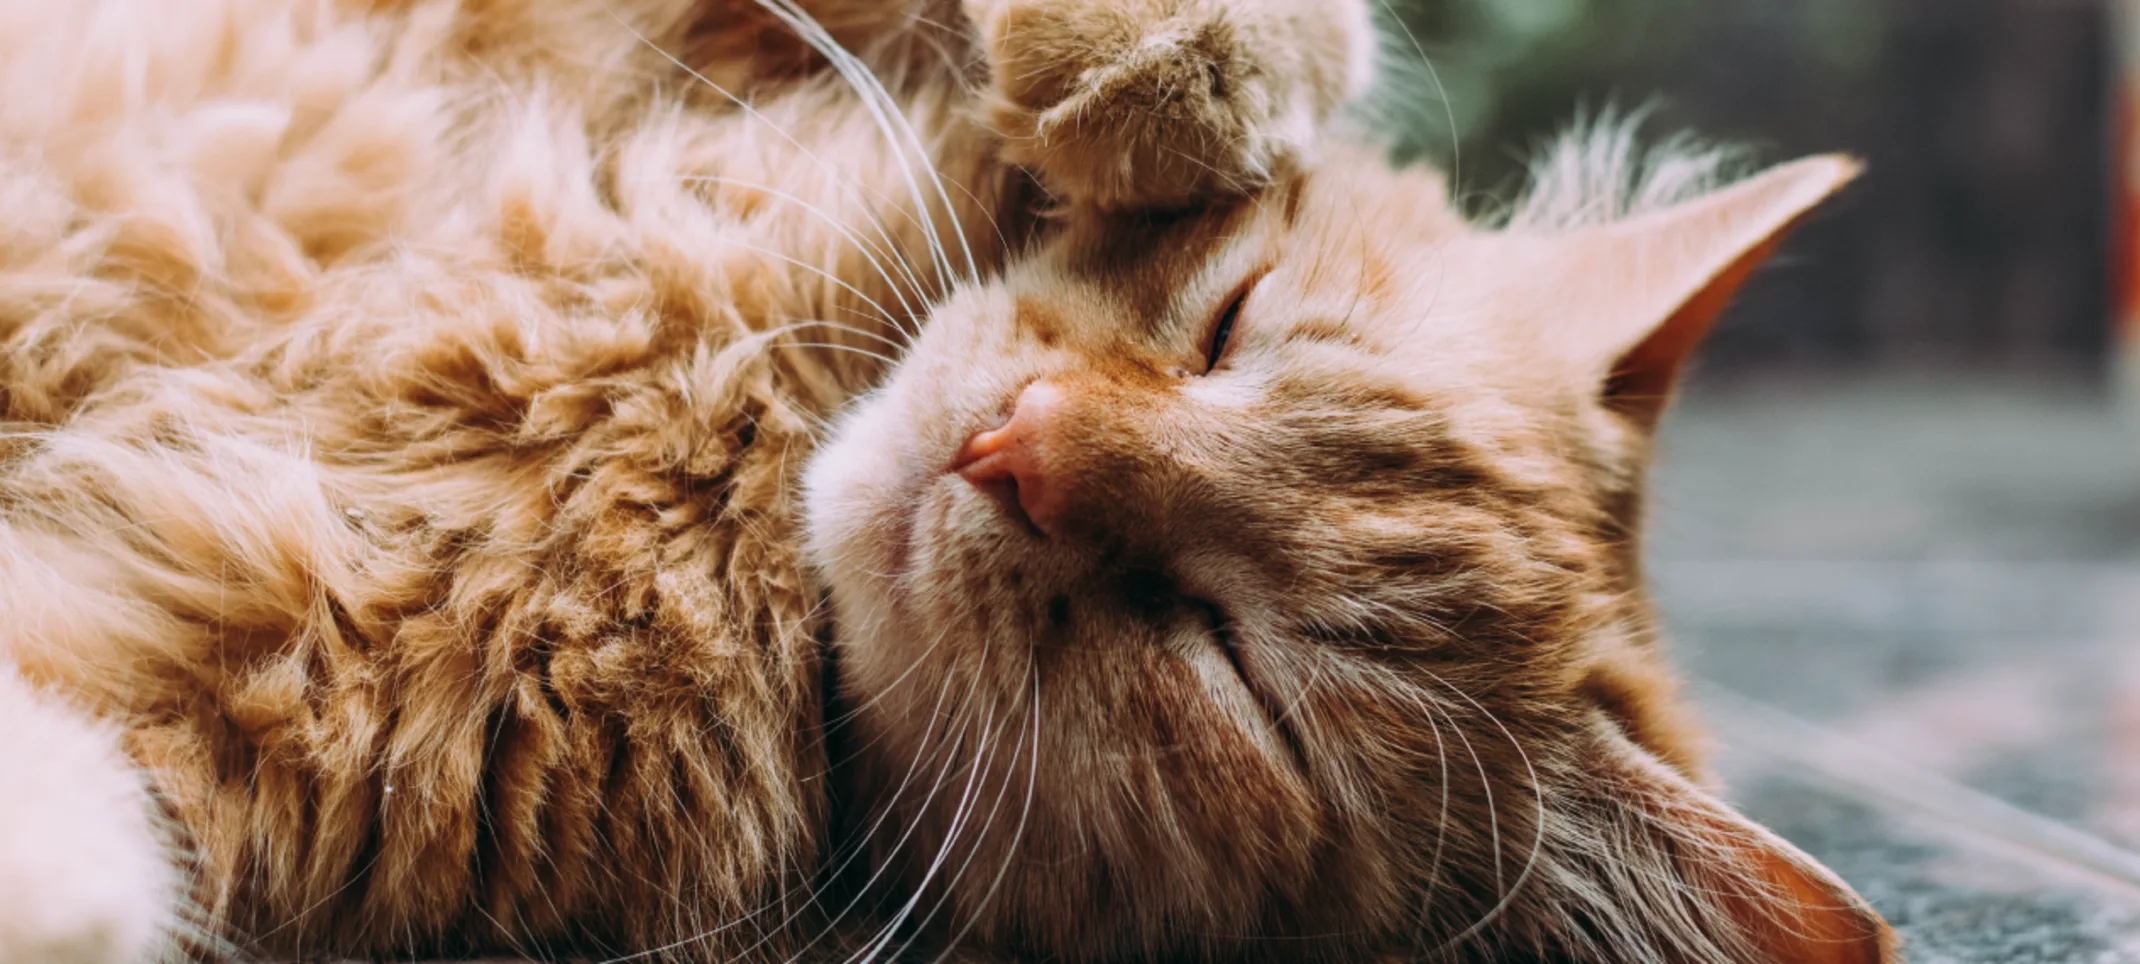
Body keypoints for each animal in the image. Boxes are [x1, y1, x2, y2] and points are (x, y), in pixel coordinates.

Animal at [0, 0, 1900, 955]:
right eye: (1230, 325)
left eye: (1237, 670)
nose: (1018, 451)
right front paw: (1153, 74)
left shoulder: (245, 728)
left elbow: (97, 814)